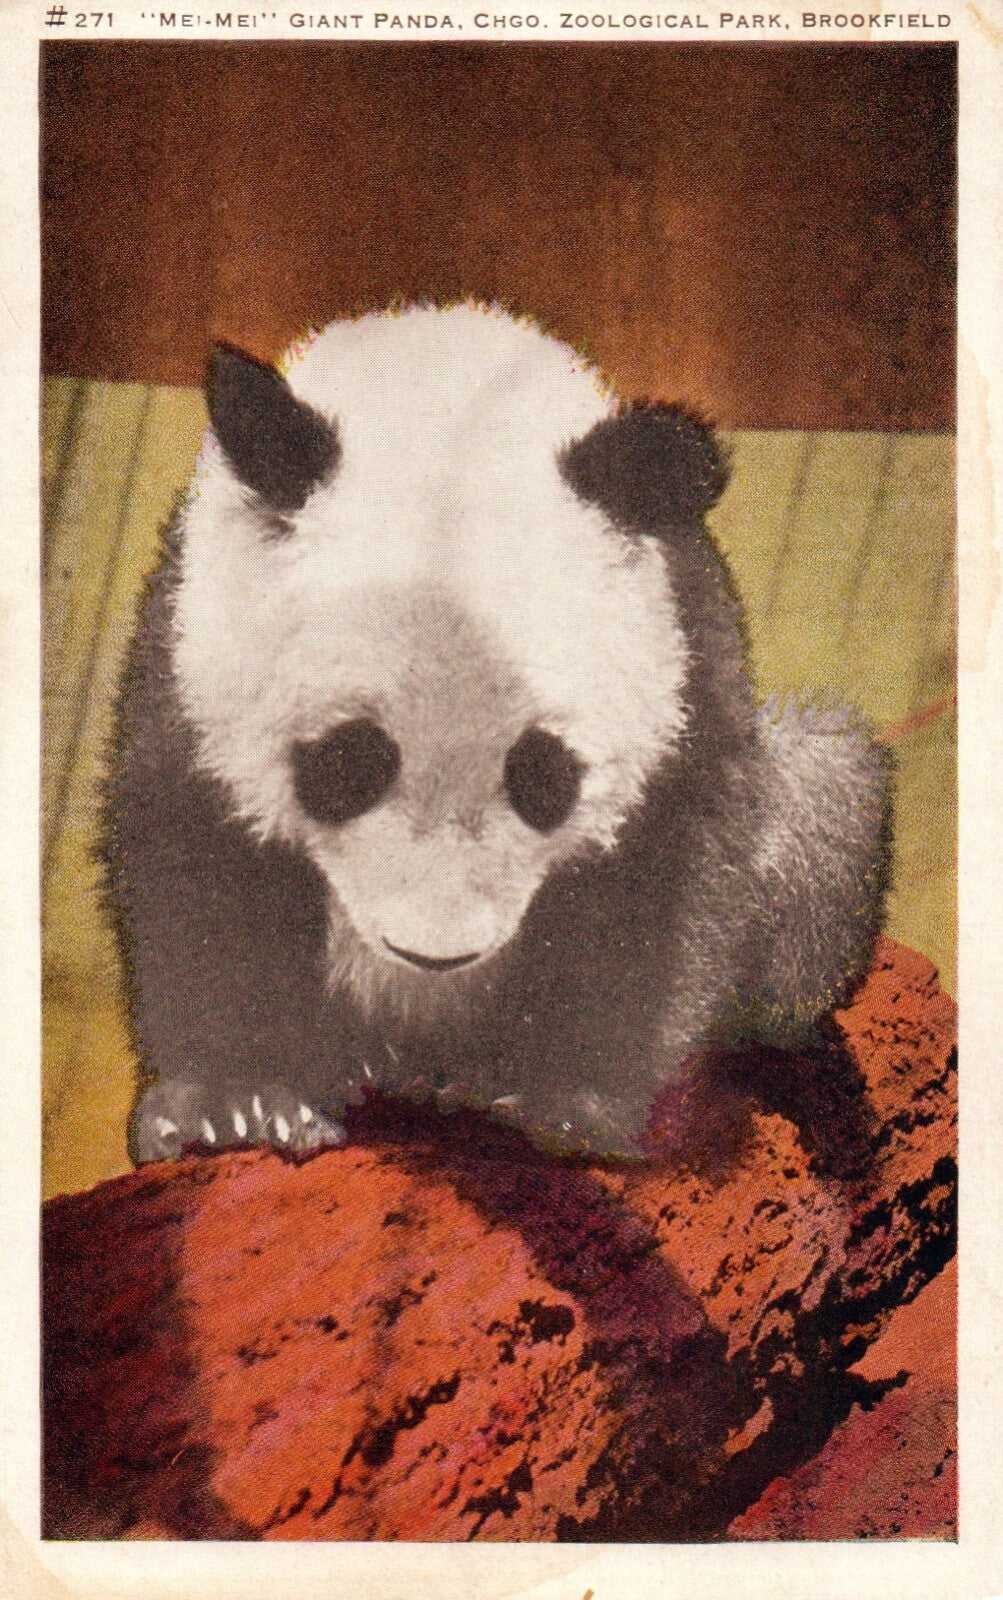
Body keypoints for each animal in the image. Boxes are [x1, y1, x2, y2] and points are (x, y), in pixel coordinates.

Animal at [107, 301, 890, 1169]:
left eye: (543, 776)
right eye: (347, 764)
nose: (435, 953)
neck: (453, 390)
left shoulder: (682, 661)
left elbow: (659, 887)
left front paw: (563, 1105)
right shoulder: (190, 647)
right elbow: (198, 871)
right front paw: (235, 1102)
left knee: (824, 819)